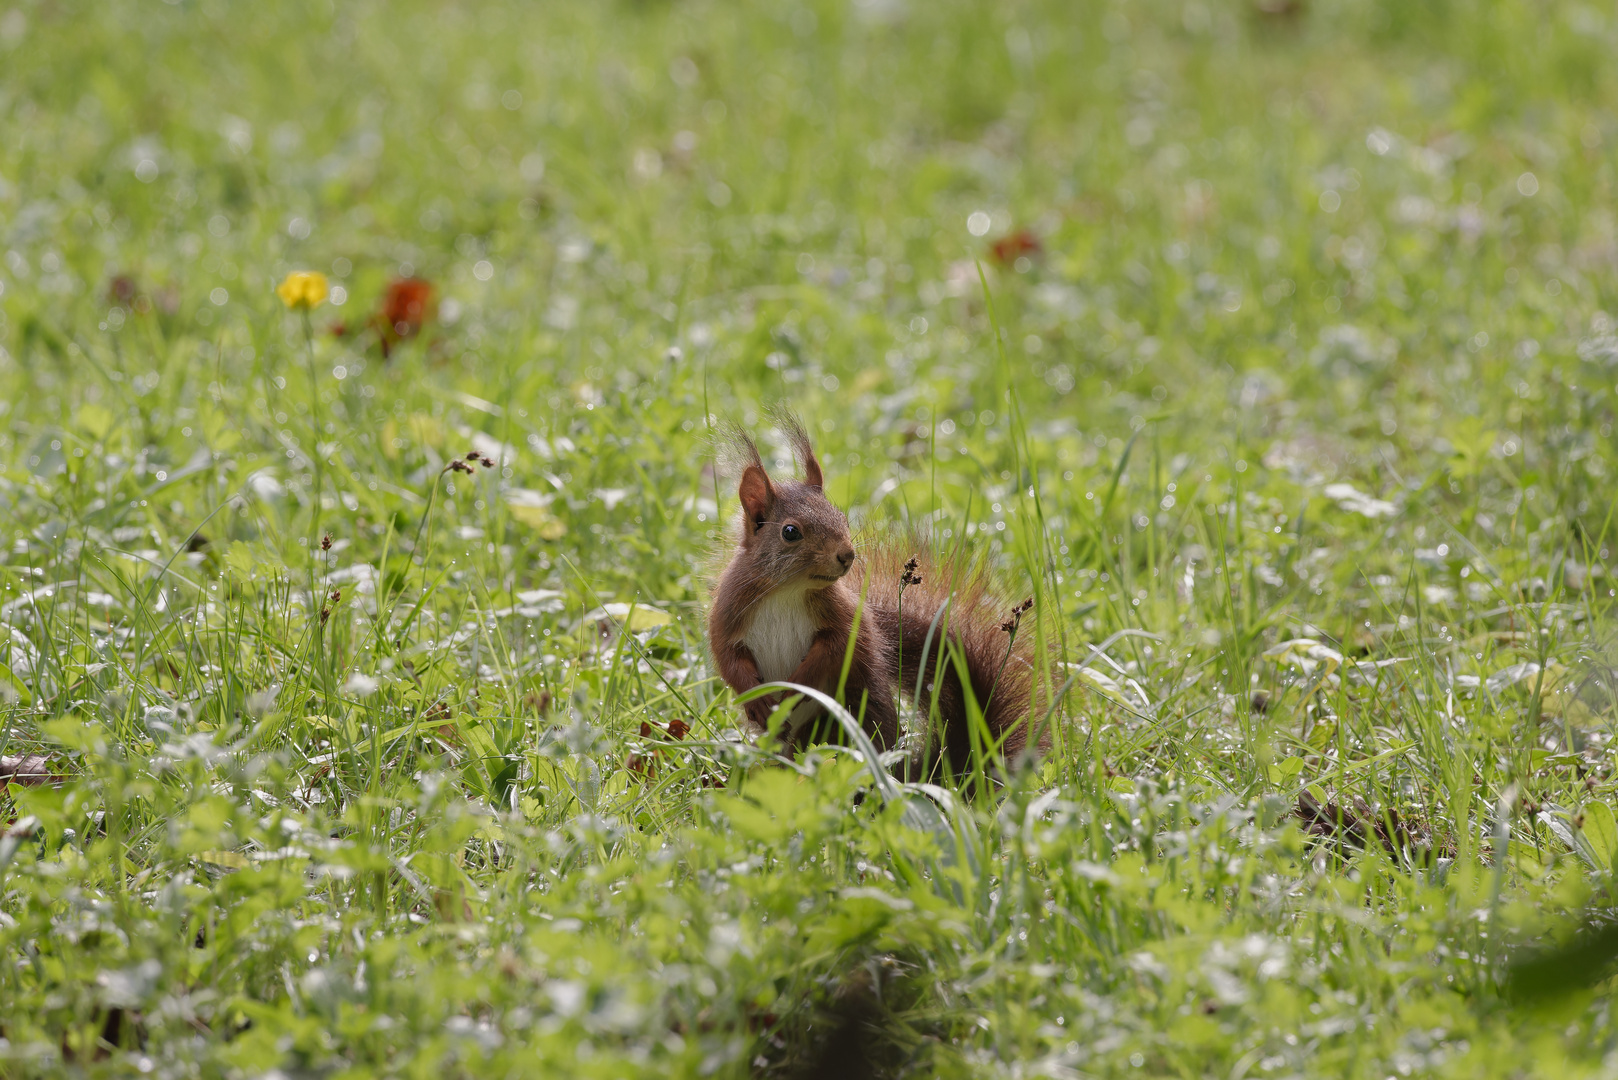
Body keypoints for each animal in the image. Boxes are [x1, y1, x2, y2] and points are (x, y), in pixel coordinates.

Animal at [705, 414, 1035, 777]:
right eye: (790, 532)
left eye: (842, 518)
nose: (847, 555)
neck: (787, 592)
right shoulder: (729, 612)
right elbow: (728, 658)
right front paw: (756, 697)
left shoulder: (840, 614)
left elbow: (838, 645)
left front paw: (797, 685)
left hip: (847, 716)